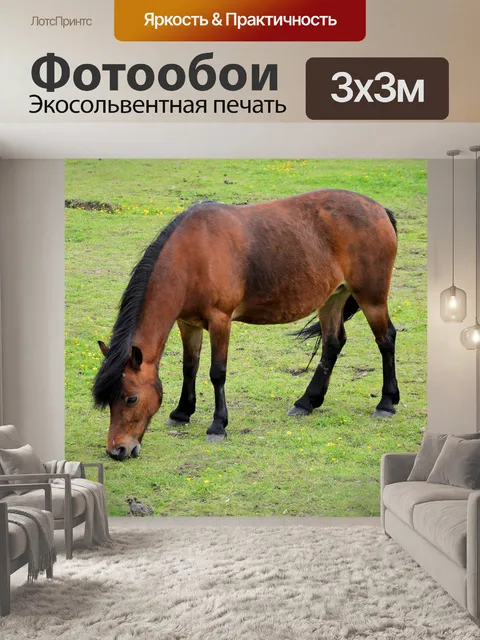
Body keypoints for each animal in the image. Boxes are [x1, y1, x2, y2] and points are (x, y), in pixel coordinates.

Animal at [93, 189, 399, 461]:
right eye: (108, 400)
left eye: (131, 399)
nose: (117, 450)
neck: (192, 256)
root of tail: (379, 210)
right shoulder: (187, 323)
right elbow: (189, 367)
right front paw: (181, 413)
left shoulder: (220, 320)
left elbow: (217, 373)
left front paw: (218, 426)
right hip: (333, 297)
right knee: (332, 344)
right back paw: (306, 402)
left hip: (371, 298)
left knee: (386, 339)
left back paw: (386, 403)